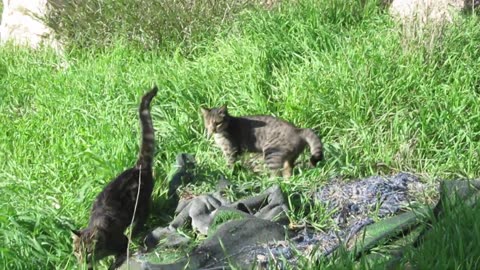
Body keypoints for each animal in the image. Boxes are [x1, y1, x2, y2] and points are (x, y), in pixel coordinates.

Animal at [72, 86, 158, 270]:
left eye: (88, 252)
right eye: (76, 252)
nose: (82, 261)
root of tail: (137, 167)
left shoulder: (121, 242)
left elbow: (120, 255)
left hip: (140, 203)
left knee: (143, 215)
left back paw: (136, 230)